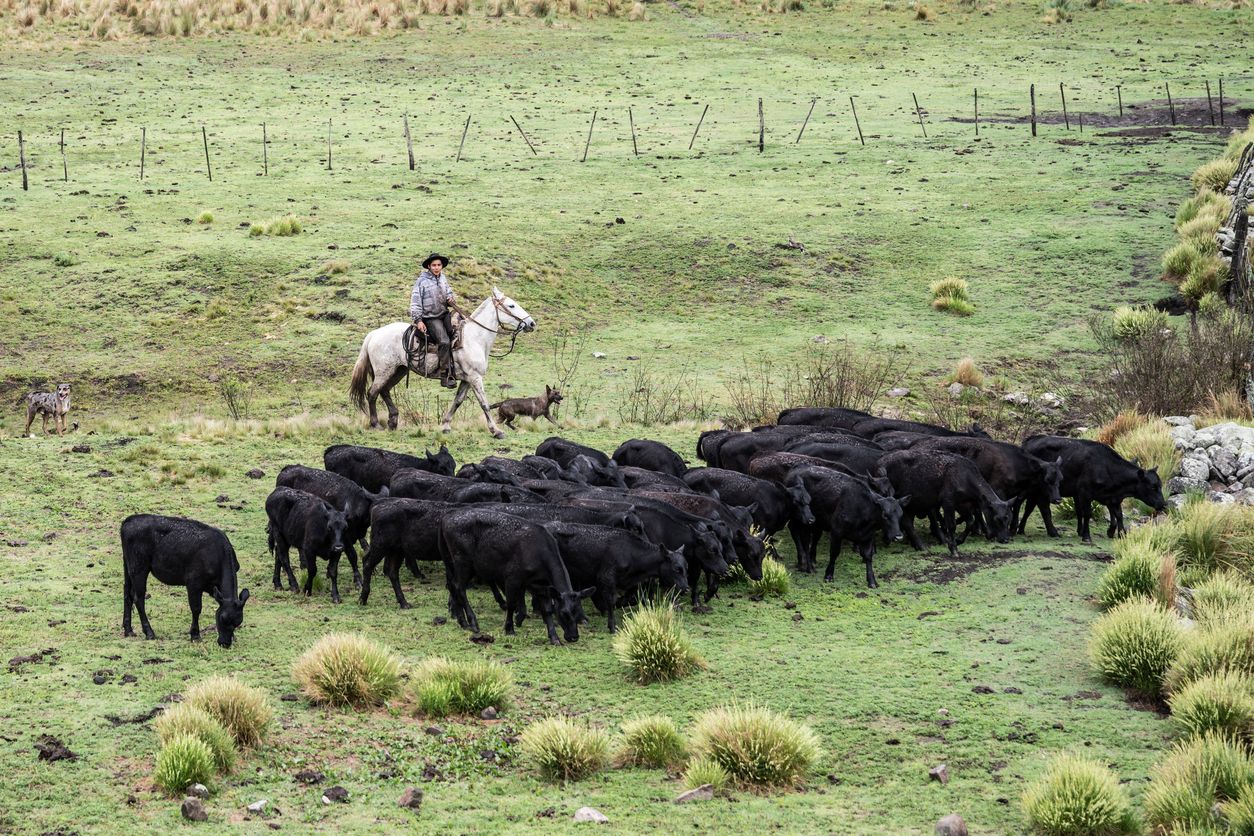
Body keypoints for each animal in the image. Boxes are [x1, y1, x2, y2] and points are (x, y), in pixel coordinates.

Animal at [119, 514, 249, 648]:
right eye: (222, 618)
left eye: (238, 622)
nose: (225, 643)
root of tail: (129, 520)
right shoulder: (193, 582)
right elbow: (196, 608)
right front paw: (195, 635)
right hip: (139, 567)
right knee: (138, 598)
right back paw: (149, 633)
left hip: (128, 565)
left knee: (127, 594)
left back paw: (128, 630)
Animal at [438, 508, 595, 645]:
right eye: (564, 613)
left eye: (579, 613)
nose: (574, 637)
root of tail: (447, 516)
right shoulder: (512, 578)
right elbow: (512, 604)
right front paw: (509, 629)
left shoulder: (542, 586)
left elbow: (547, 610)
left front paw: (554, 638)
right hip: (463, 560)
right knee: (460, 588)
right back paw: (473, 622)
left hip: (451, 560)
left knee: (452, 586)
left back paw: (462, 621)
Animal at [541, 522, 689, 632]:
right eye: (677, 569)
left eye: (686, 567)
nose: (686, 588)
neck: (631, 553)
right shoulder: (607, 577)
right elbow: (611, 601)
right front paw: (612, 626)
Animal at [876, 450, 1013, 557]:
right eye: (997, 519)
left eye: (1008, 518)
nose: (1006, 539)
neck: (964, 476)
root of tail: (881, 460)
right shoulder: (948, 501)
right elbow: (951, 525)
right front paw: (953, 549)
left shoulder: (962, 504)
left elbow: (970, 521)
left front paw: (959, 540)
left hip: (910, 502)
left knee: (907, 521)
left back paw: (919, 545)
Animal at [1020, 436, 1167, 542]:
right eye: (1153, 486)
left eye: (1160, 485)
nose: (1163, 504)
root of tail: (1030, 439)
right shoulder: (1085, 493)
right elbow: (1087, 513)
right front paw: (1086, 536)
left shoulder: (1112, 498)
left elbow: (1118, 515)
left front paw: (1121, 534)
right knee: (1038, 506)